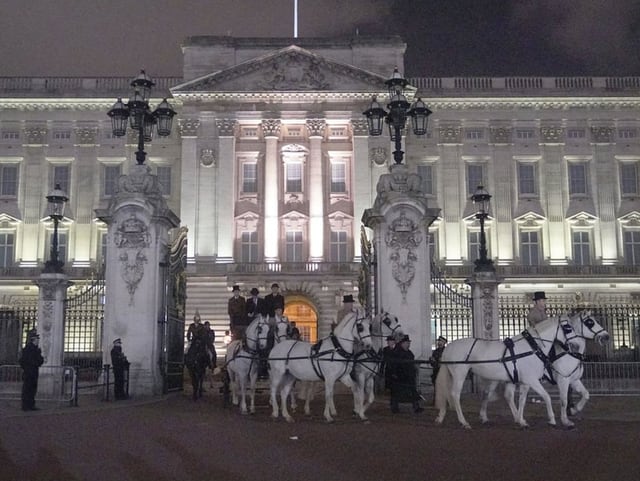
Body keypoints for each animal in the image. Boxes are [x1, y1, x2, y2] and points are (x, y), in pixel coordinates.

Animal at [436, 316, 580, 428]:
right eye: (568, 328)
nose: (576, 345)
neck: (531, 348)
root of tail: (448, 347)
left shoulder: (524, 381)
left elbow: (521, 400)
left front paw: (521, 420)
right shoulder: (532, 380)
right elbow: (546, 397)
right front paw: (552, 419)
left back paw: (443, 417)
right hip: (459, 374)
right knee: (455, 395)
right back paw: (464, 422)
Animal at [480, 312, 608, 428]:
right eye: (590, 322)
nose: (606, 336)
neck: (570, 353)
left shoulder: (574, 380)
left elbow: (586, 394)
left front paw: (574, 409)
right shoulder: (563, 380)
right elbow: (564, 400)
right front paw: (565, 420)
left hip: (511, 378)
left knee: (507, 396)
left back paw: (515, 418)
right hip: (496, 378)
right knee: (487, 393)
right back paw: (485, 417)